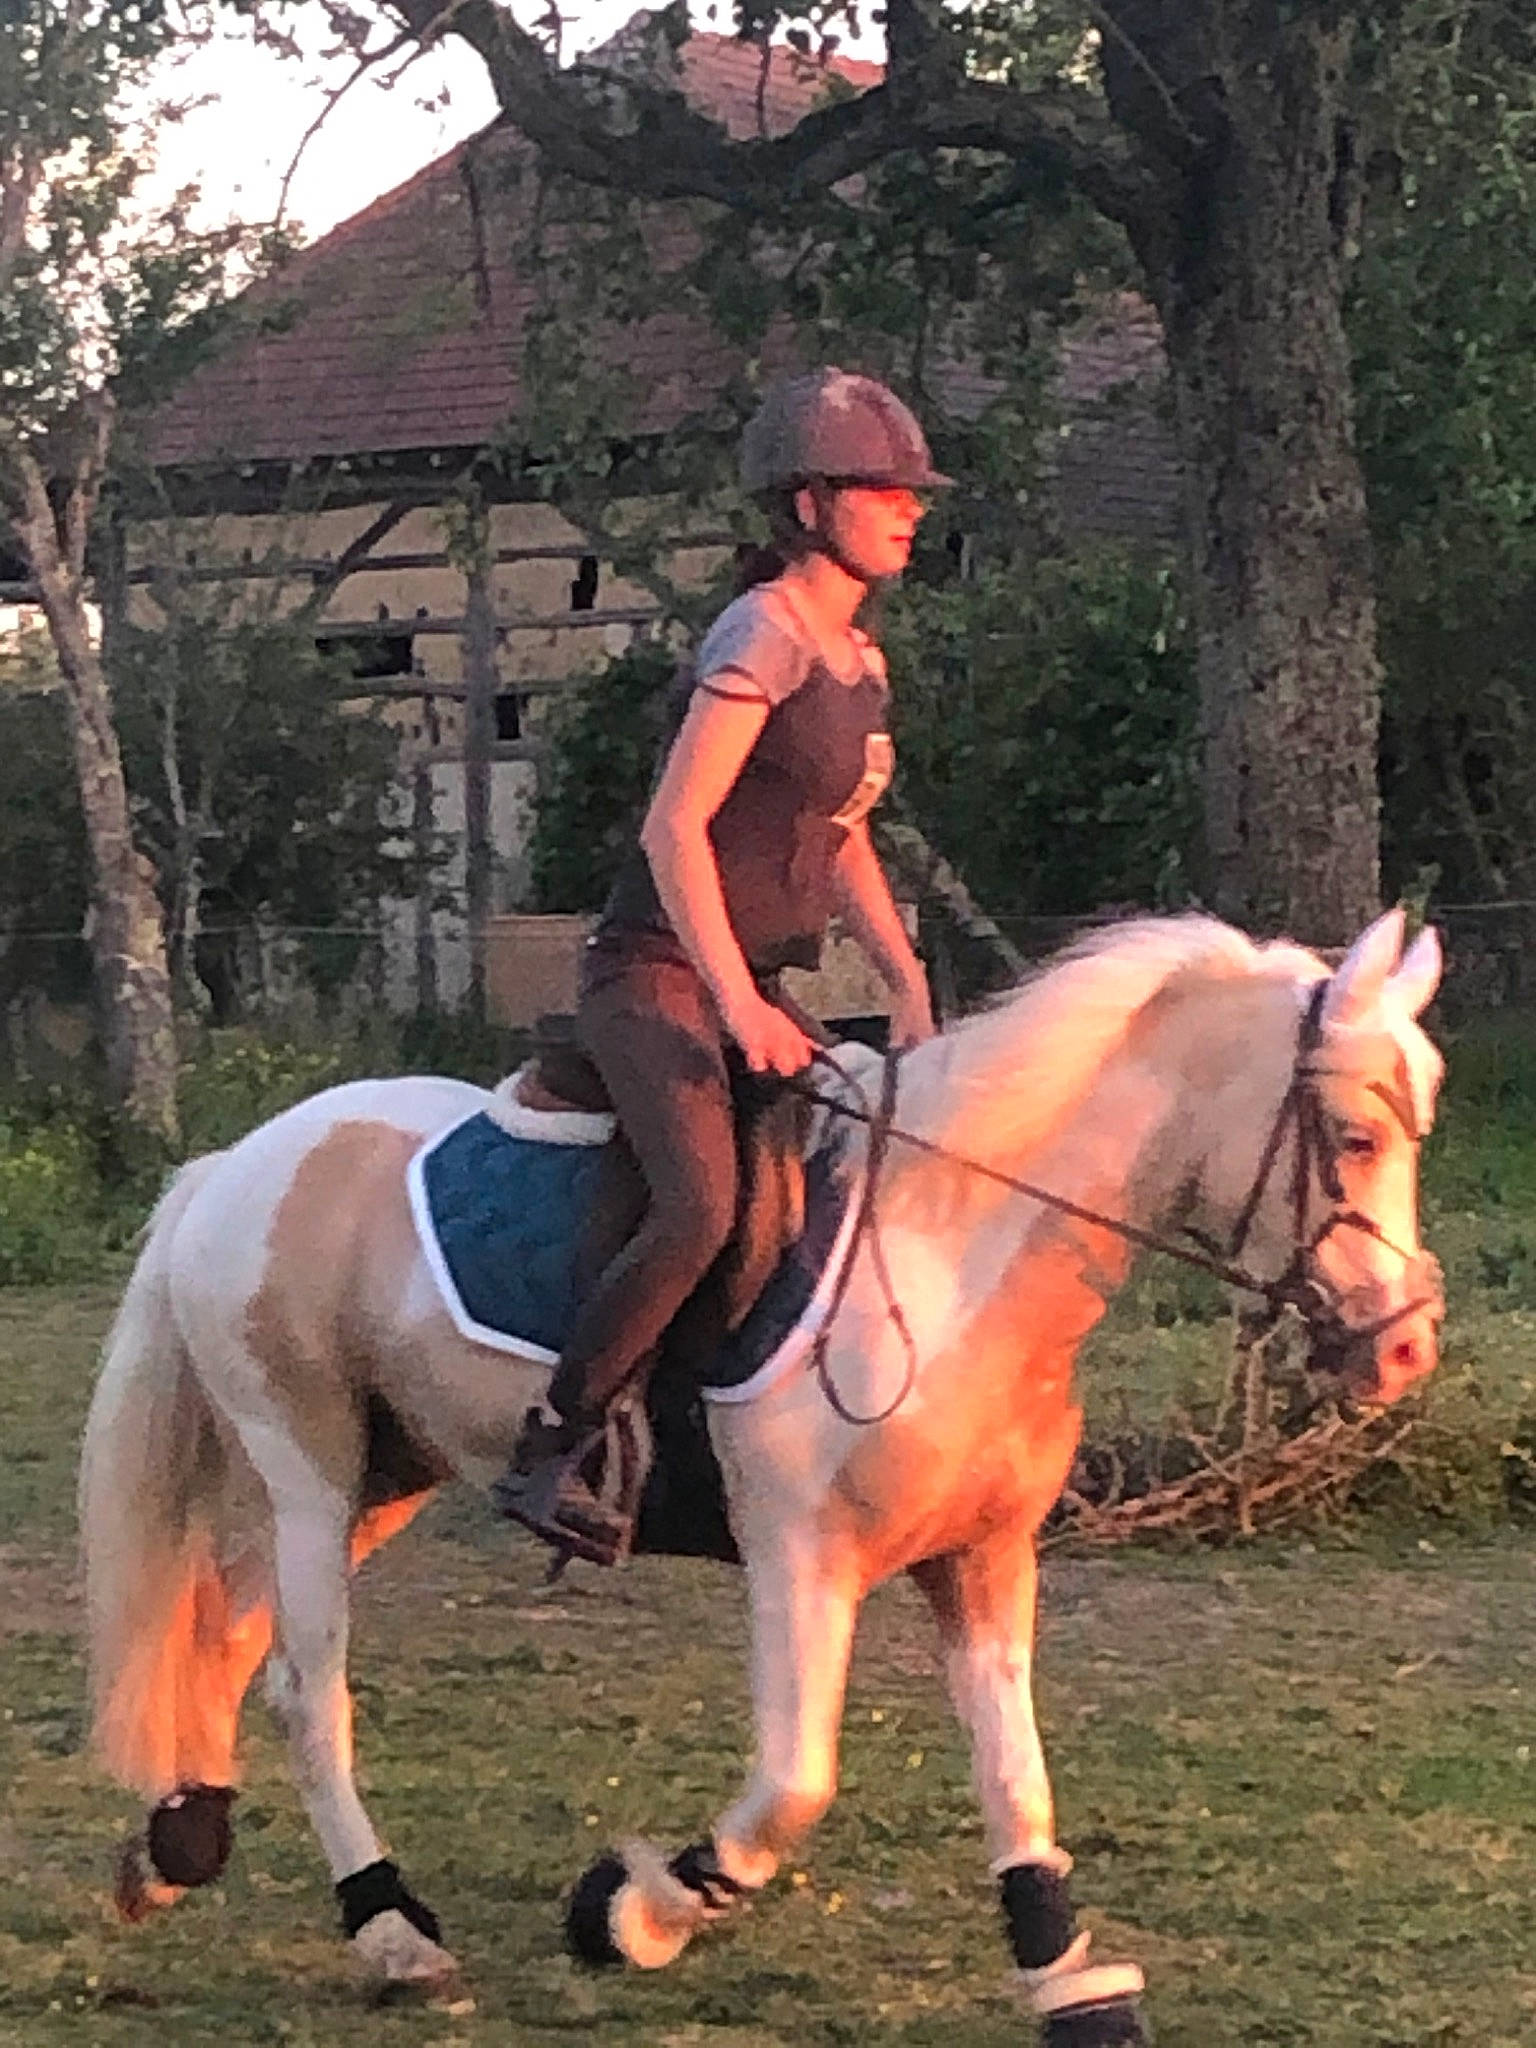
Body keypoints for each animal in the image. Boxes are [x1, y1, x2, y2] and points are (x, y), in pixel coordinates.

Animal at [78, 908, 1443, 2045]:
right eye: (1357, 1133)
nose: (1407, 1346)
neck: (953, 1248)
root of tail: (234, 1161)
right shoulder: (802, 1559)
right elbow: (795, 1783)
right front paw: (631, 1911)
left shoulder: (985, 1555)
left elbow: (1017, 1777)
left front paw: (1068, 1979)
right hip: (308, 1465)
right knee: (307, 1687)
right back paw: (389, 1926)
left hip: (388, 1473)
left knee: (231, 1632)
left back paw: (176, 1841)